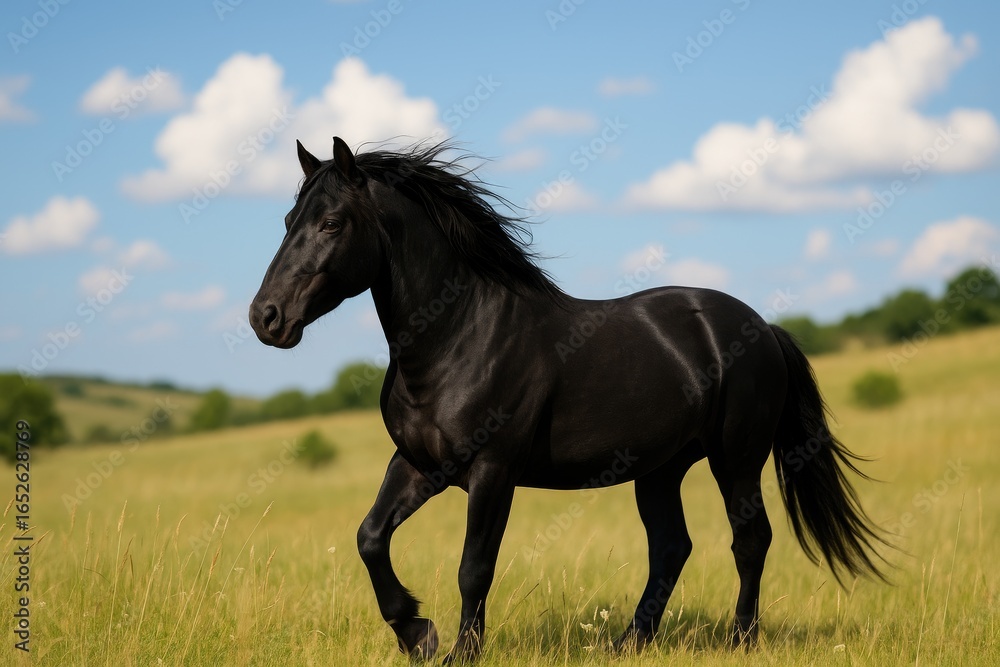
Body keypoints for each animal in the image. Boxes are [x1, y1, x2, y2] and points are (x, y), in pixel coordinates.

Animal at [249, 137, 887, 662]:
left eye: (332, 222)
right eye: (287, 219)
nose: (265, 318)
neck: (459, 334)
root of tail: (763, 328)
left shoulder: (492, 472)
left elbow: (474, 567)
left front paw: (459, 652)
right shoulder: (418, 465)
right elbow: (370, 538)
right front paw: (417, 634)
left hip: (737, 460)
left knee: (749, 541)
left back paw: (741, 640)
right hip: (659, 470)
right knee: (671, 548)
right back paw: (629, 643)